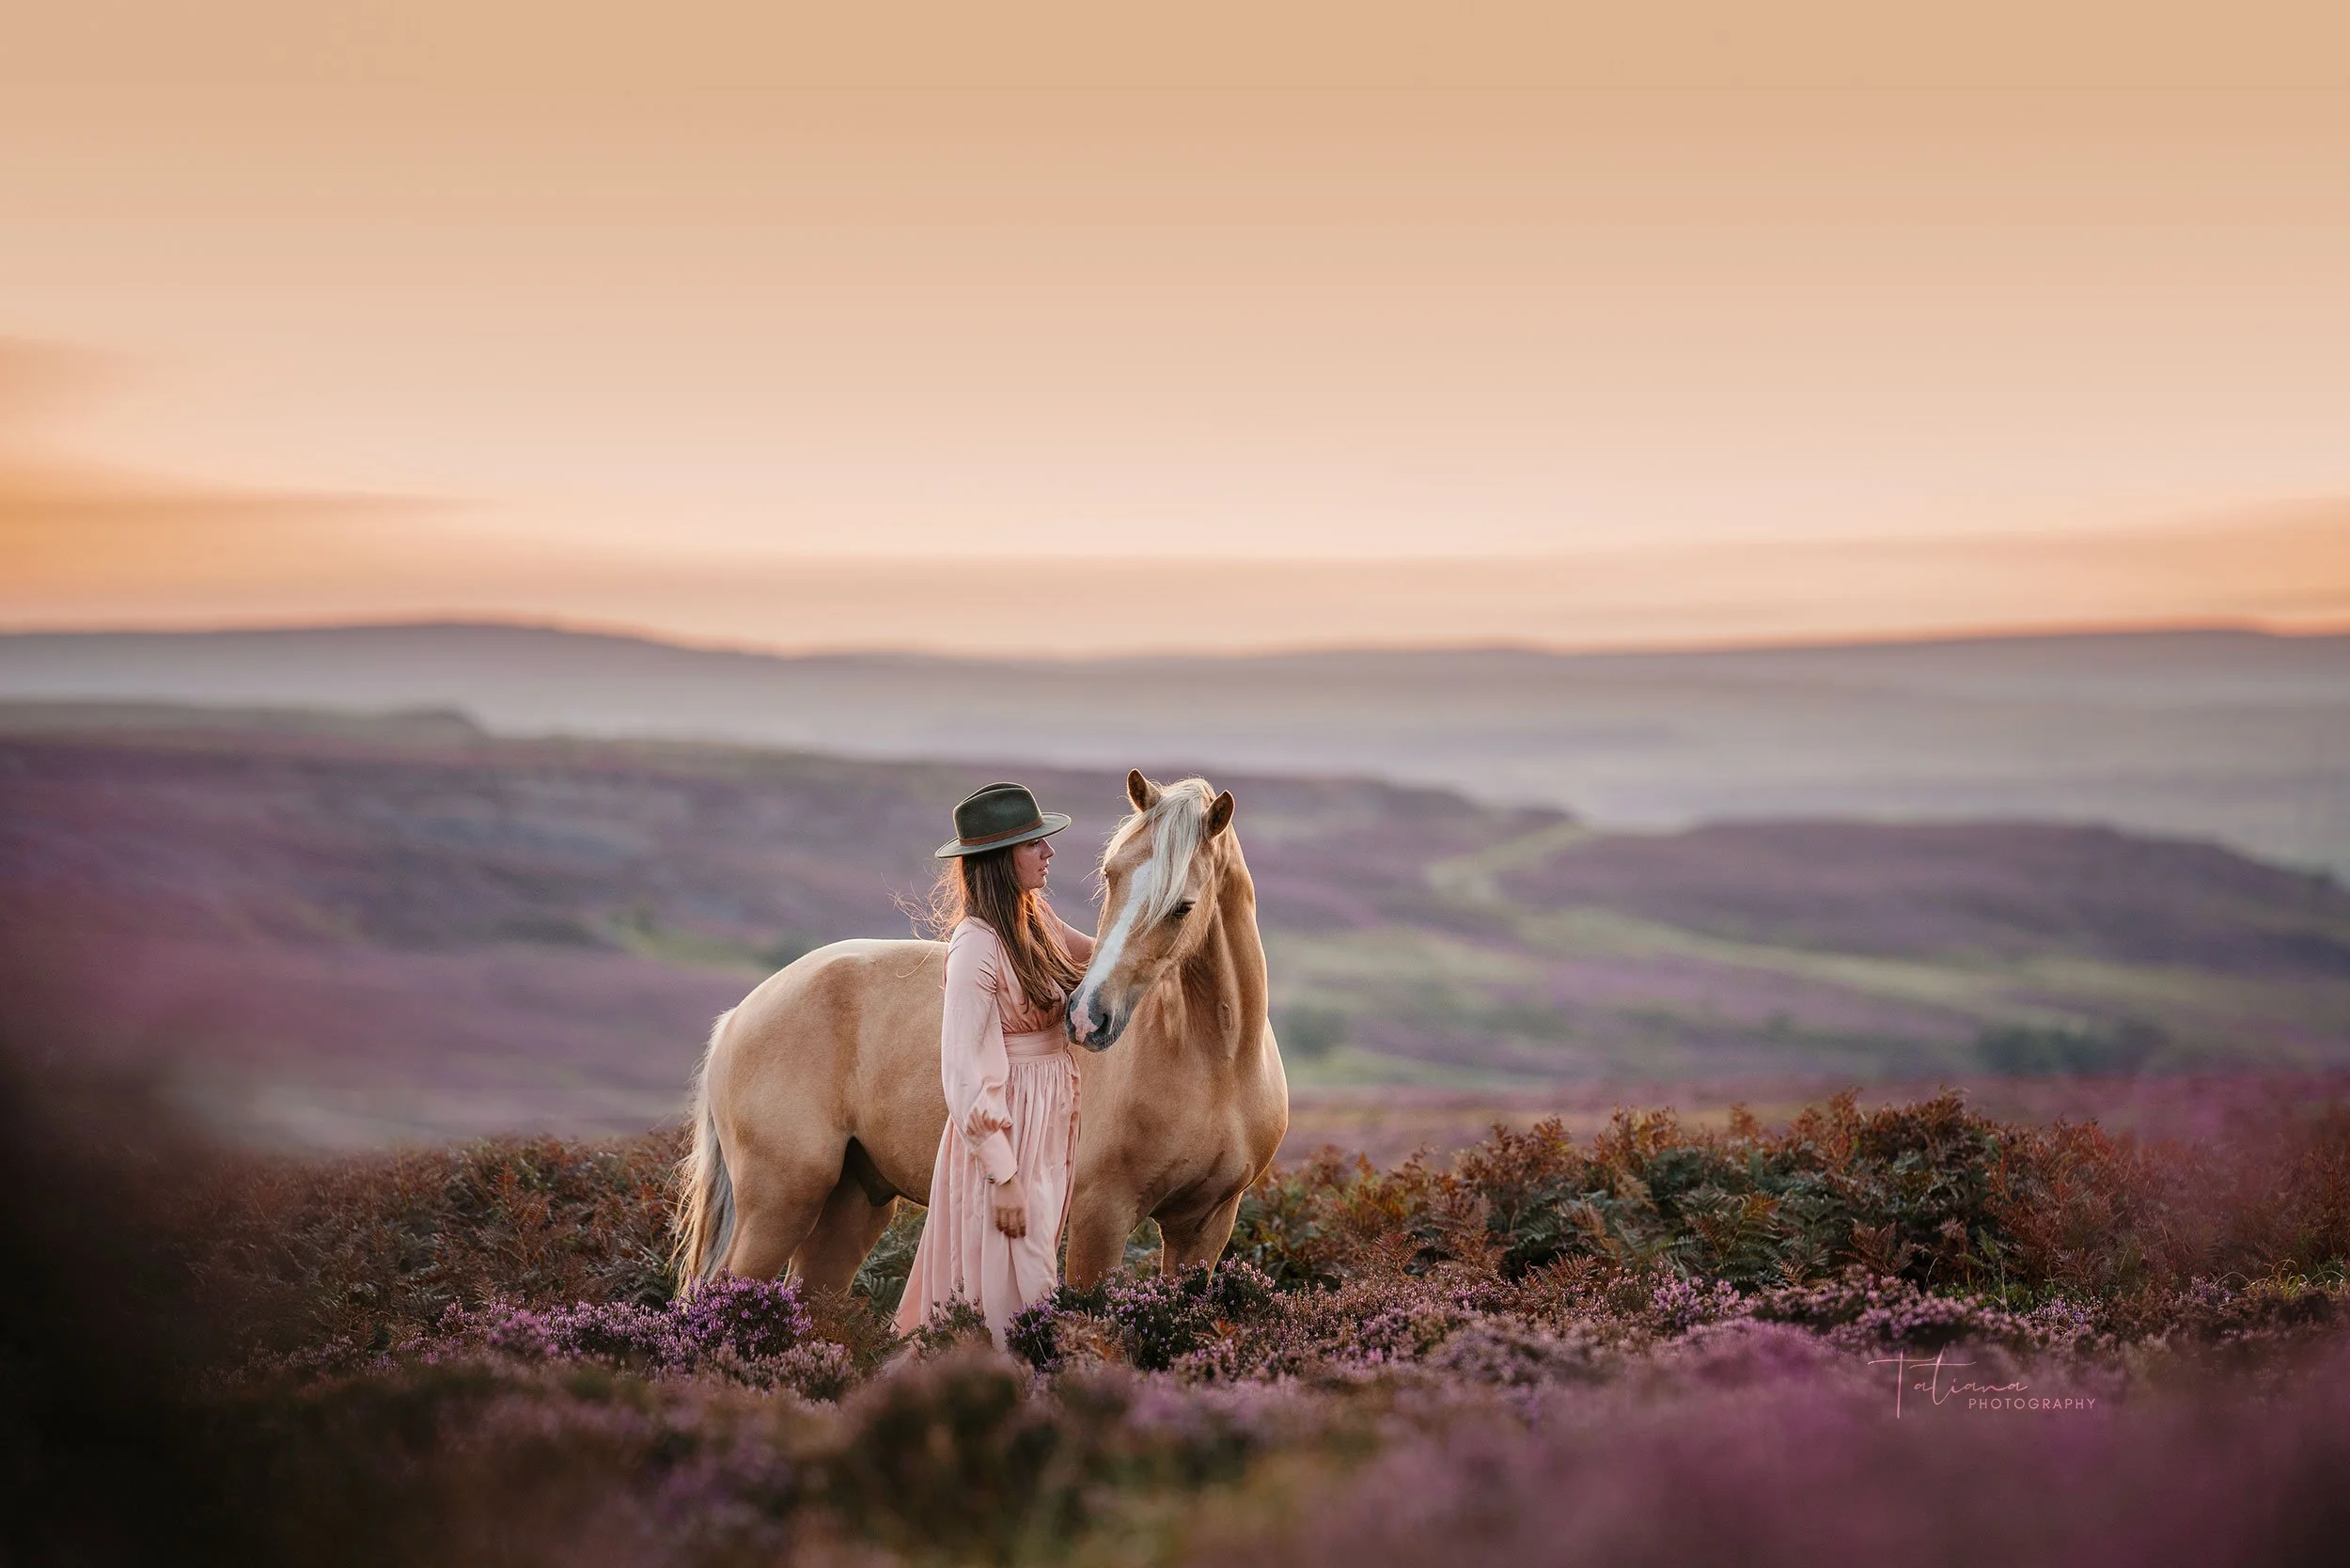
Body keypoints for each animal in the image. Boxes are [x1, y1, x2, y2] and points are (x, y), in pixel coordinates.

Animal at [672, 770, 1288, 1295]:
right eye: (1111, 877)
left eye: (1183, 907)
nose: (1087, 1017)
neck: (1215, 1066)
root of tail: (740, 1015)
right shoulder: (1101, 1218)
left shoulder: (1205, 1226)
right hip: (780, 1204)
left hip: (851, 1206)